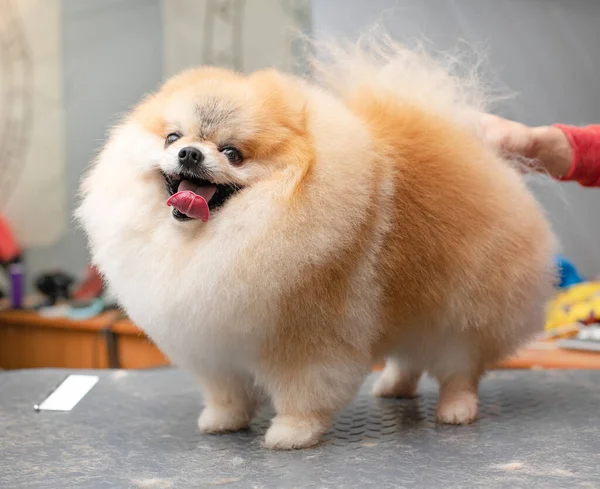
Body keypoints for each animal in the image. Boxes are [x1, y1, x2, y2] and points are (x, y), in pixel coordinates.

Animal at [77, 38, 556, 448]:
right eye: (173, 137)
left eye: (232, 153)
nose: (191, 153)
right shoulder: (214, 344)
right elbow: (227, 391)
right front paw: (223, 420)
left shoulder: (308, 340)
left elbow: (303, 393)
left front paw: (292, 434)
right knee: (409, 356)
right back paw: (394, 387)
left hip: (458, 314)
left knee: (460, 367)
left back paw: (456, 409)